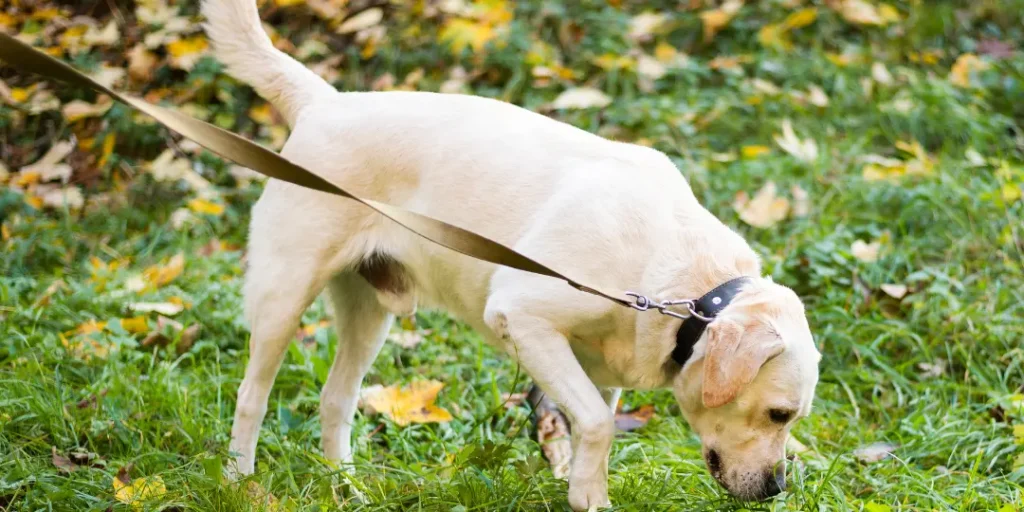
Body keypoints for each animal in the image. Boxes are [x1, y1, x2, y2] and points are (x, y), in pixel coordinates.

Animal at [201, 0, 823, 507]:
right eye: (779, 414)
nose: (777, 489)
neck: (683, 289)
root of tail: (324, 102)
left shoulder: (598, 368)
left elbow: (590, 424)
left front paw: (581, 487)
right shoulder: (523, 317)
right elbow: (597, 424)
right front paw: (591, 496)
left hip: (369, 315)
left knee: (336, 400)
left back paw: (348, 487)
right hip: (284, 298)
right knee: (251, 397)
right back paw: (238, 483)